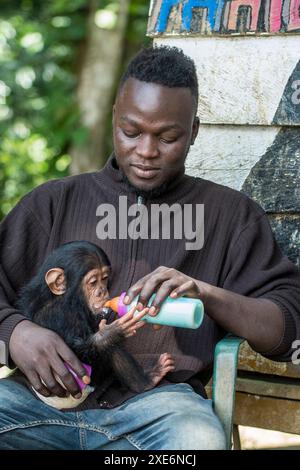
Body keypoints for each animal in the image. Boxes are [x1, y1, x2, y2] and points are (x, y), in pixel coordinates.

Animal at [17, 241, 176, 406]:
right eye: (93, 282)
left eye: (104, 278)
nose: (102, 291)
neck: (67, 300)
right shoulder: (58, 314)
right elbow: (73, 355)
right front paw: (110, 333)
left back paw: (149, 379)